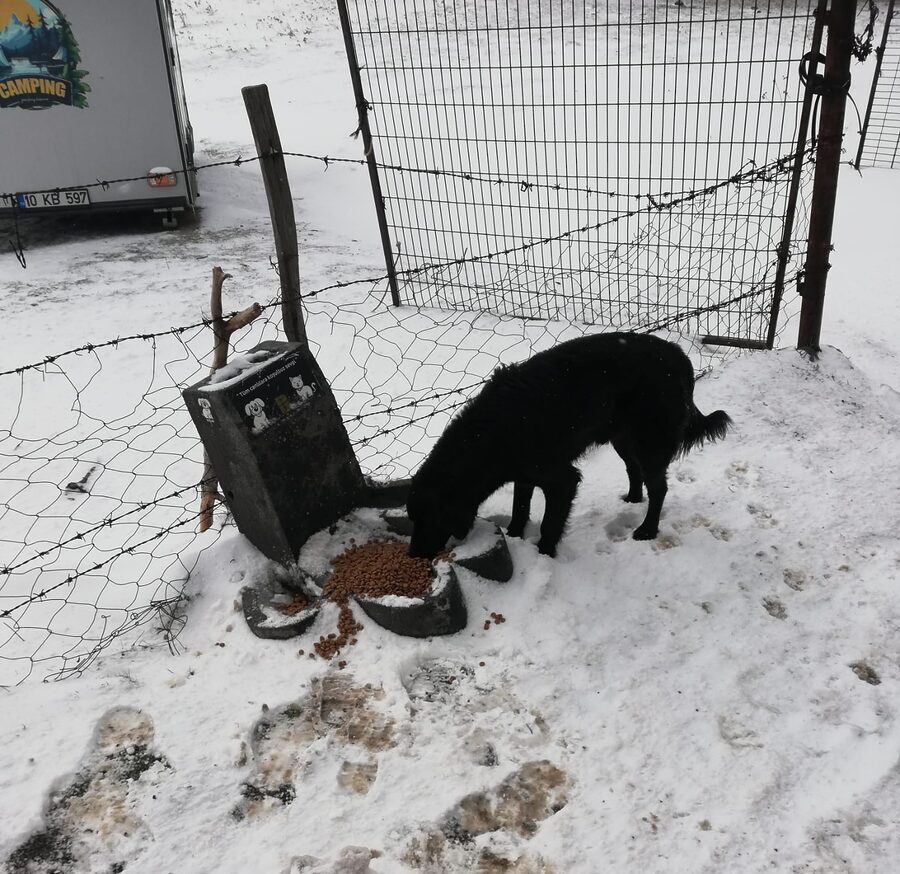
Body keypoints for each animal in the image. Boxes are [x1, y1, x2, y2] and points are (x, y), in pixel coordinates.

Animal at [408, 330, 732, 556]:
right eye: (412, 518)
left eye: (428, 520)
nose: (413, 555)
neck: (492, 435)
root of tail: (680, 356)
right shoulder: (525, 475)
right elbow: (519, 509)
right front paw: (514, 536)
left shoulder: (562, 479)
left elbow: (550, 524)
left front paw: (544, 554)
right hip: (623, 437)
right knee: (634, 471)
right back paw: (631, 499)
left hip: (650, 440)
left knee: (659, 487)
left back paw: (647, 530)